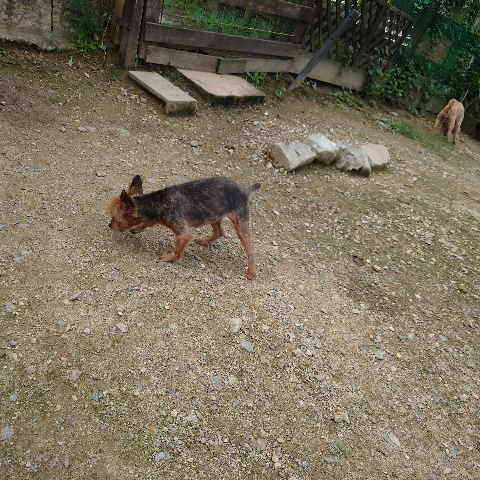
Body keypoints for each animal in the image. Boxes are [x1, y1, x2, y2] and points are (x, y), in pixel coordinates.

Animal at [108, 175, 261, 279]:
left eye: (115, 219)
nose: (109, 225)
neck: (158, 203)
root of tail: (244, 190)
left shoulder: (183, 231)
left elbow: (178, 250)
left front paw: (169, 257)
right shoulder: (155, 218)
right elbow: (146, 223)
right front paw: (137, 228)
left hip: (240, 222)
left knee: (250, 249)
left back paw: (251, 272)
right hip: (213, 215)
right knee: (219, 231)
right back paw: (204, 241)